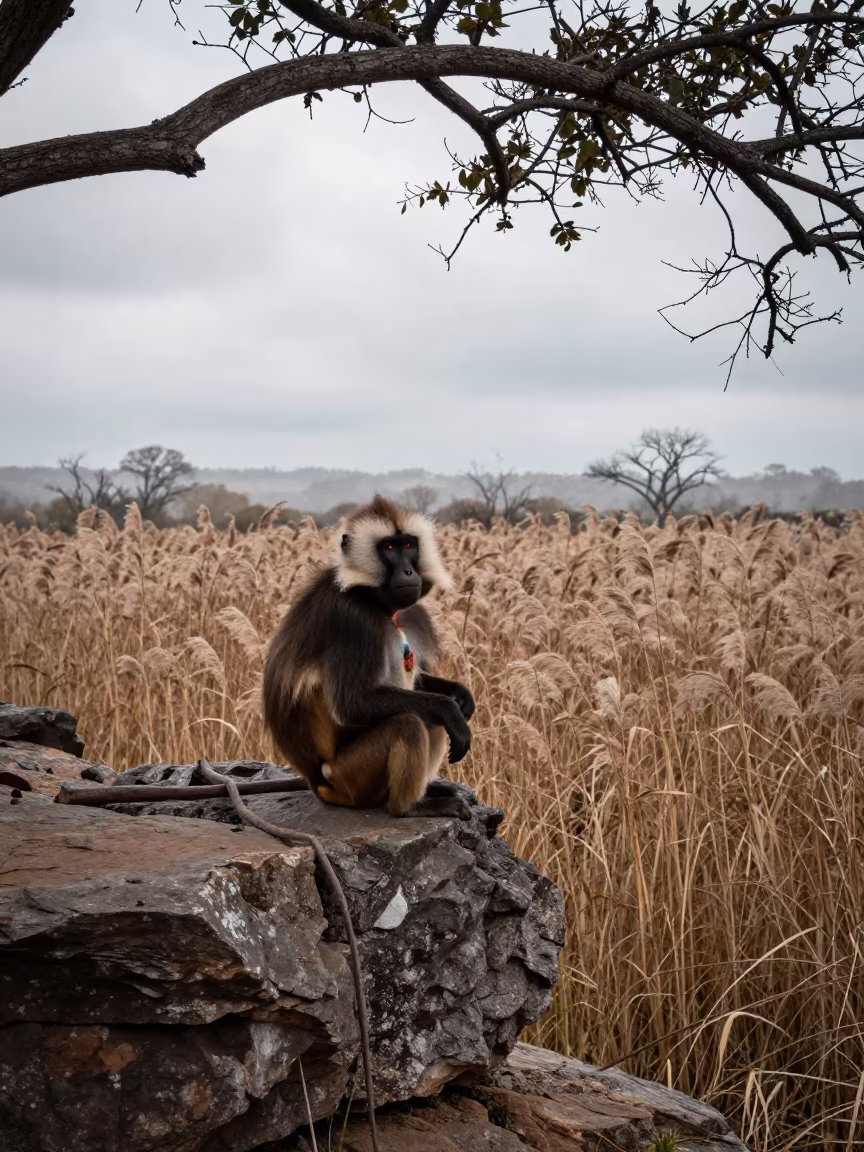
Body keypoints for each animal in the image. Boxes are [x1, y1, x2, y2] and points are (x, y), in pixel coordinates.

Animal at [263, 496, 477, 819]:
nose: (408, 572)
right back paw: (408, 808)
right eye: (388, 548)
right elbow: (353, 703)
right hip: (348, 777)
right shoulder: (352, 623)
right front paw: (451, 708)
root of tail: (317, 783)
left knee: (426, 718)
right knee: (409, 724)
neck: (373, 600)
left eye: (408, 545)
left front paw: (459, 693)